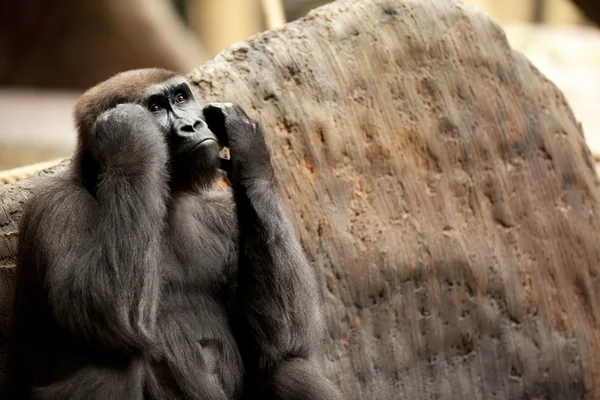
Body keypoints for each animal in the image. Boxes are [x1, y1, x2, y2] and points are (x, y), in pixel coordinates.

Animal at [7, 69, 342, 400]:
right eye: (156, 107)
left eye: (181, 98)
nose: (191, 125)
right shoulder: (57, 206)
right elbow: (99, 307)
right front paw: (130, 137)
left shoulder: (222, 214)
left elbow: (281, 340)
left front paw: (247, 146)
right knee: (112, 354)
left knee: (288, 368)